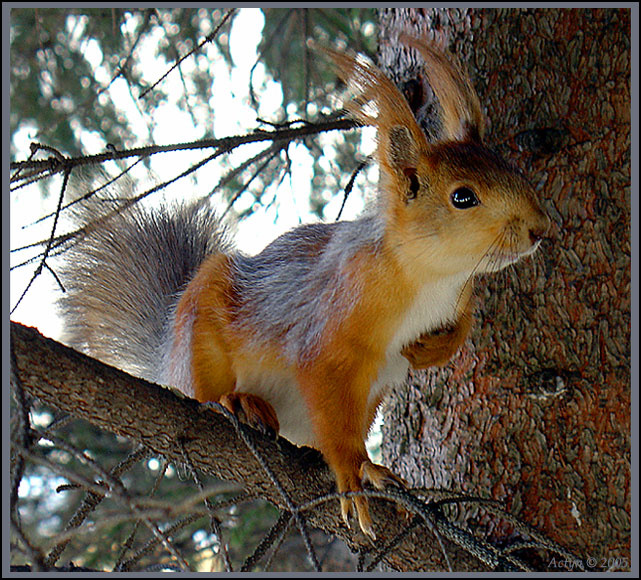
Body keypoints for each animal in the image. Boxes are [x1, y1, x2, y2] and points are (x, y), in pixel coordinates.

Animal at [57, 35, 549, 540]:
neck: (433, 279)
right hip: (199, 331)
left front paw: (433, 348)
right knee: (202, 392)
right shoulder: (329, 335)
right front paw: (353, 472)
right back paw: (238, 401)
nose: (540, 228)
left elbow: (462, 326)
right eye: (463, 197)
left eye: (511, 168)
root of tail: (165, 358)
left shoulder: (456, 297)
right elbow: (328, 399)